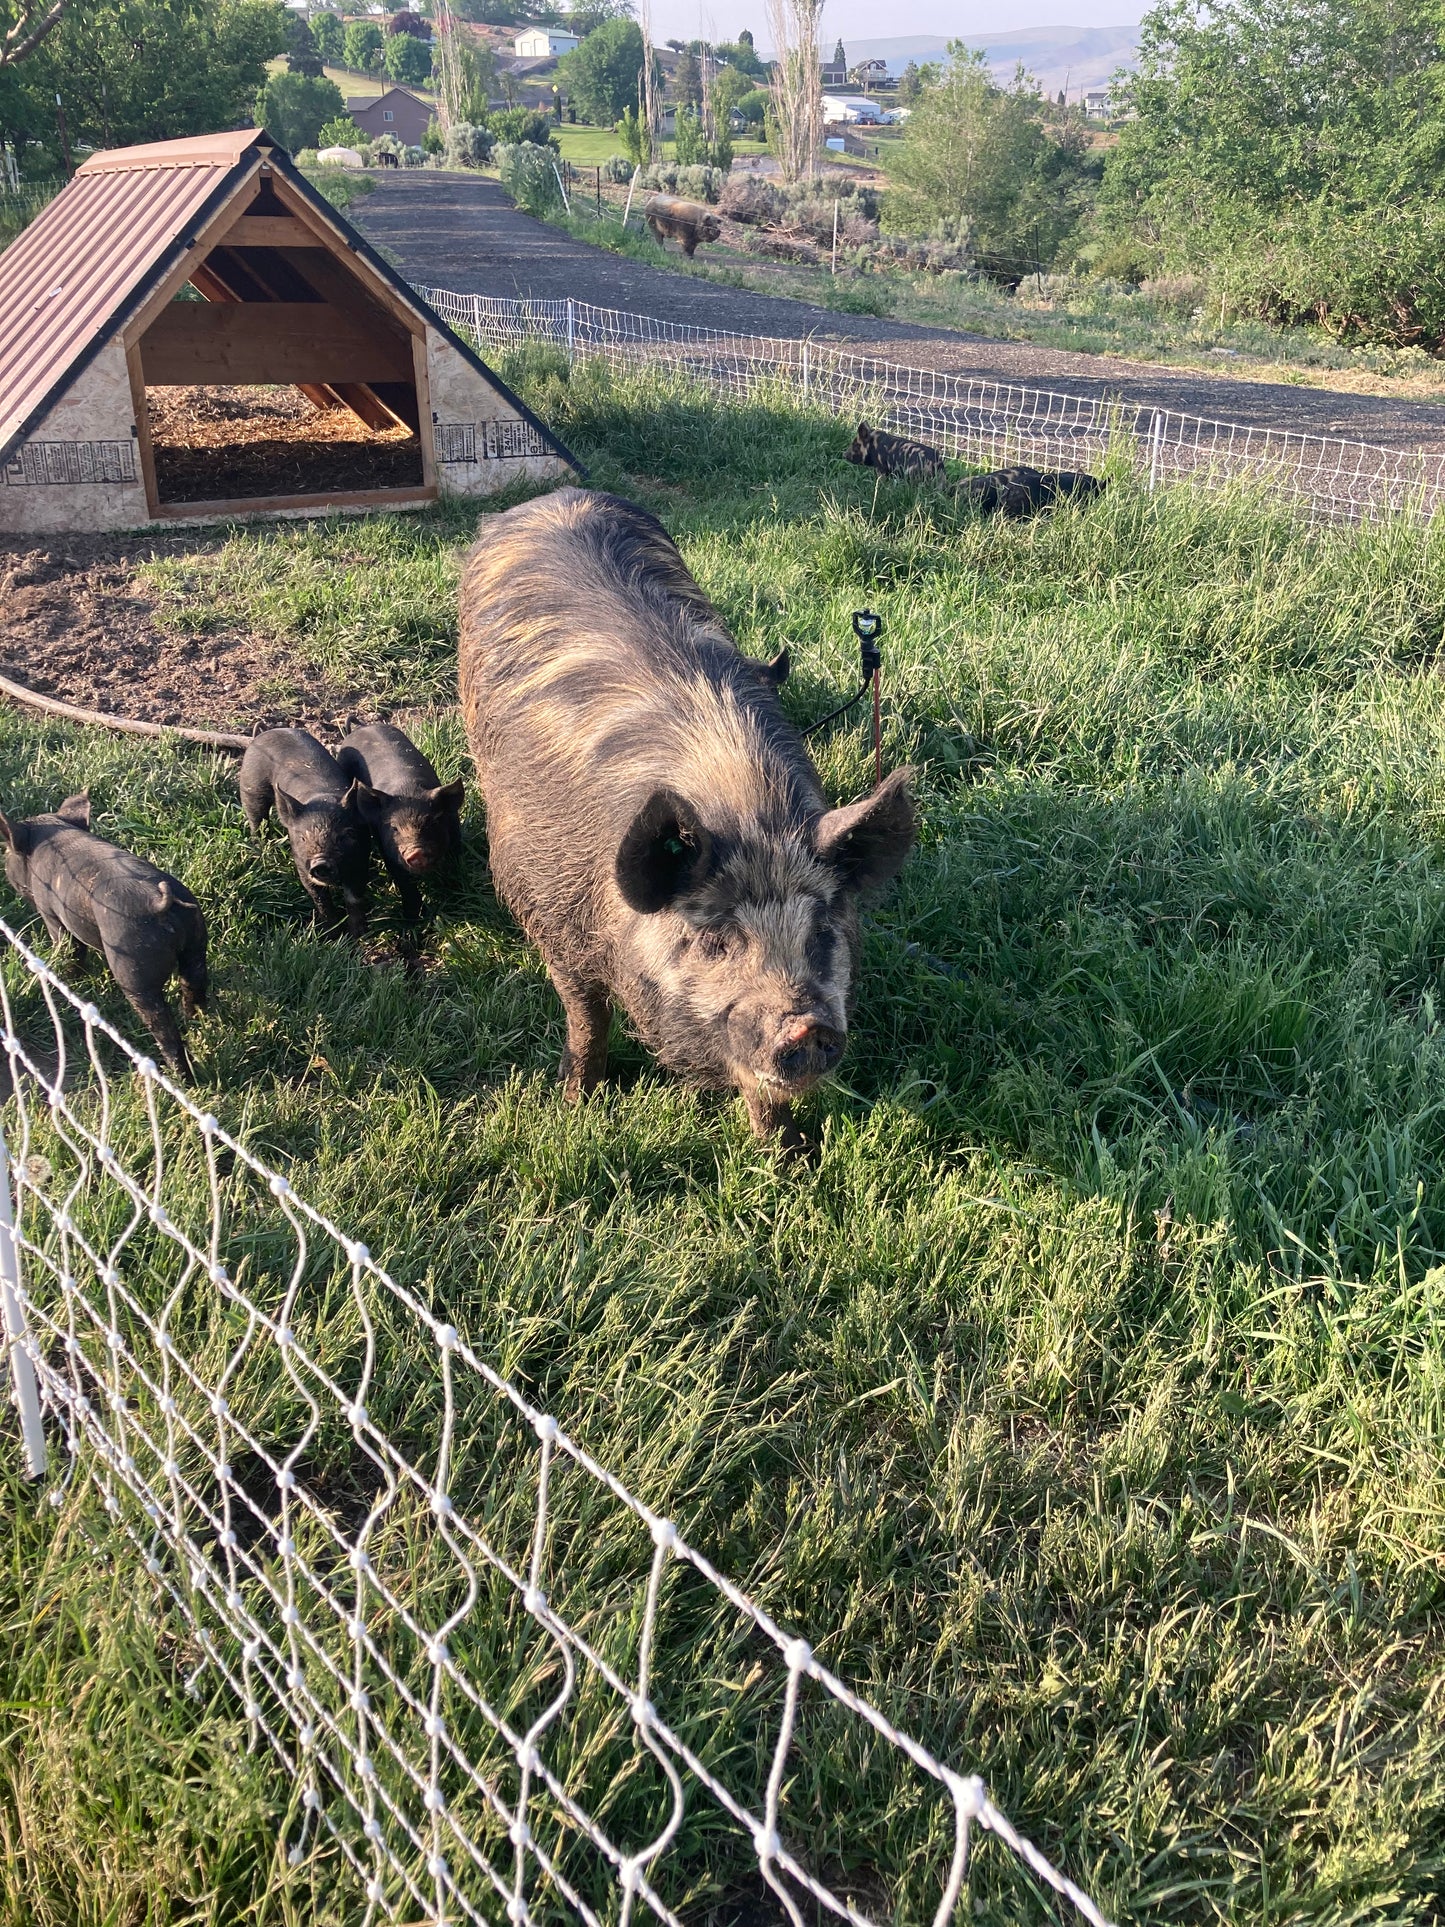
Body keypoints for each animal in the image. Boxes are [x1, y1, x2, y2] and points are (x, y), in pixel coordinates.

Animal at [0, 790, 209, 1079]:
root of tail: (157, 902)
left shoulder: (50, 913)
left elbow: (69, 949)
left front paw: (68, 978)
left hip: (134, 967)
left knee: (161, 1024)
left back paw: (180, 1075)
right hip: (195, 939)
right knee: (194, 982)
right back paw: (197, 1019)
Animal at [240, 724, 373, 936]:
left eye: (346, 834)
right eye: (302, 838)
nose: (321, 863)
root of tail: (263, 734)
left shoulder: (361, 859)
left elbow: (354, 898)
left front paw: (358, 935)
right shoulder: (302, 866)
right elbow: (320, 900)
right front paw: (331, 935)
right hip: (251, 788)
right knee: (257, 820)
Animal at [335, 728, 460, 924]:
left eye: (432, 822)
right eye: (394, 828)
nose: (416, 851)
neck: (408, 790)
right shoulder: (387, 850)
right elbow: (404, 883)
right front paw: (412, 920)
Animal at [460, 489, 917, 1148]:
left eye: (822, 930)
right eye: (712, 940)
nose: (805, 1026)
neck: (743, 809)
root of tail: (551, 497)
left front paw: (785, 1156)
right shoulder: (545, 914)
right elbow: (586, 1017)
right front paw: (575, 1105)